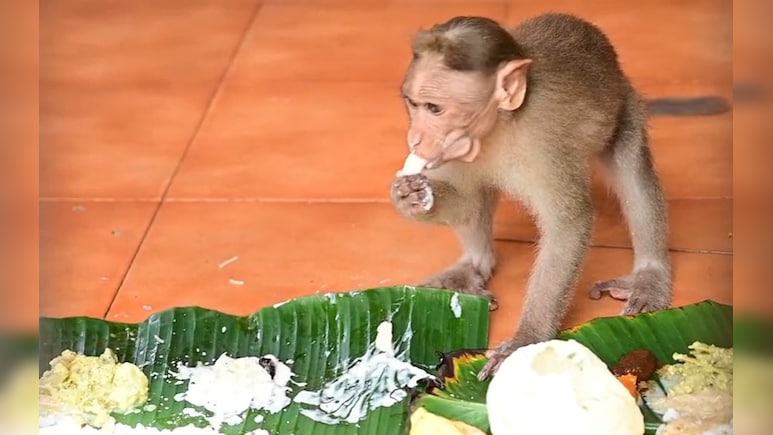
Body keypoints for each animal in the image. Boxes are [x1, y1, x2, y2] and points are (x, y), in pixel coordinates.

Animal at [389, 13, 673, 380]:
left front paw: (527, 337)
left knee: (631, 170)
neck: (499, 125)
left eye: (434, 108)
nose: (416, 138)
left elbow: (570, 222)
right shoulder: (456, 149)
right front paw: (411, 197)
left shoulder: (543, 142)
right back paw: (474, 264)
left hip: (626, 105)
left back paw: (649, 275)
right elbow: (467, 202)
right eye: (412, 104)